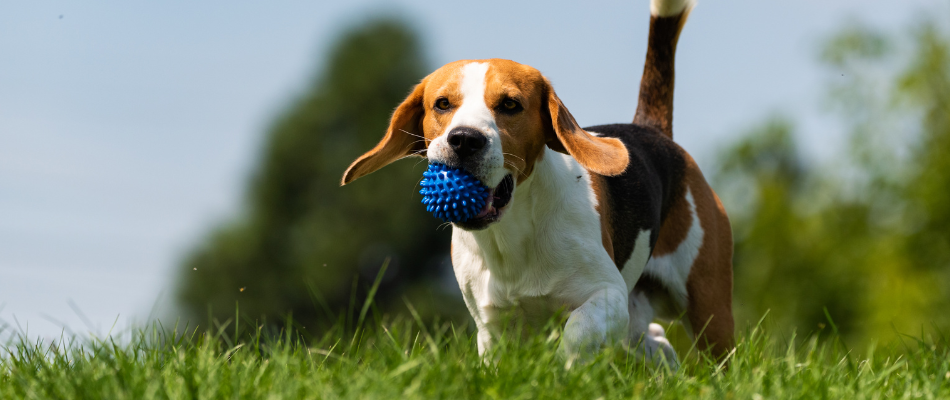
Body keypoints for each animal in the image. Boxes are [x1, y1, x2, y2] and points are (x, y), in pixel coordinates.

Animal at [342, 0, 736, 364]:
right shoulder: (491, 325)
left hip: (707, 305)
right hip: (642, 317)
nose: (465, 139)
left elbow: (577, 331)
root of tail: (653, 131)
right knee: (657, 340)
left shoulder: (608, 295)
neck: (511, 235)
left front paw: (565, 370)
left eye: (510, 105)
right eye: (442, 104)